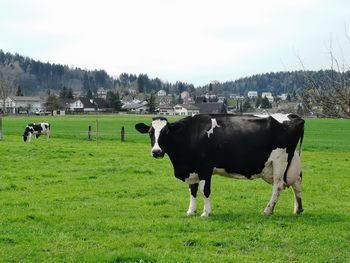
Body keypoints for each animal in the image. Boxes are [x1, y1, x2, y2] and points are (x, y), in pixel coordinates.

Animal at [135, 114, 304, 218]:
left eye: (166, 132)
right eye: (150, 132)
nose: (156, 152)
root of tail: (294, 117)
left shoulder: (205, 168)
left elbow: (205, 190)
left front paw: (206, 213)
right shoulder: (192, 168)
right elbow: (192, 190)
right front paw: (191, 211)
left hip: (280, 160)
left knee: (278, 186)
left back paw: (268, 210)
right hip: (291, 161)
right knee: (297, 182)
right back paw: (298, 209)